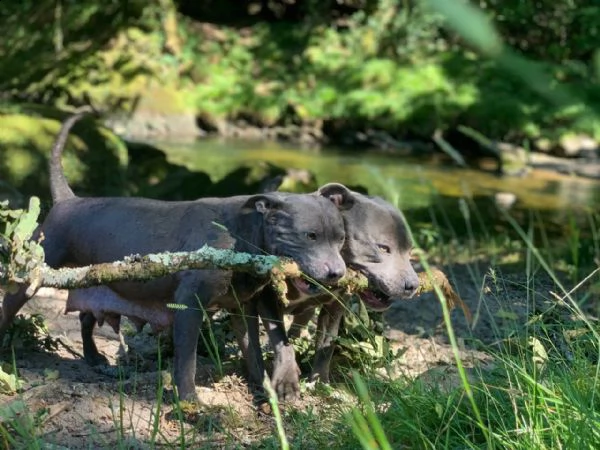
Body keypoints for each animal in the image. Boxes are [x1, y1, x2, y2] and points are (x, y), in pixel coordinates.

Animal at [0, 114, 354, 402]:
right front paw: (189, 401)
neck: (244, 234)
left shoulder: (247, 307)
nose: (338, 273)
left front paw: (271, 387)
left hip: (93, 281)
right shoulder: (190, 305)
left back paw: (94, 358)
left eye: (341, 239)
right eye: (310, 236)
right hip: (32, 276)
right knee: (10, 306)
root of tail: (66, 200)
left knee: (87, 318)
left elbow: (260, 348)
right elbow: (187, 359)